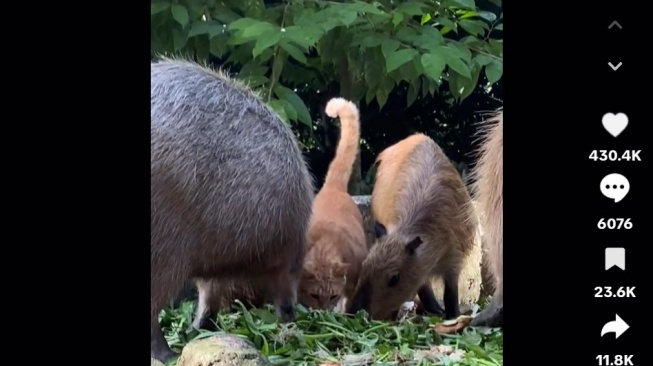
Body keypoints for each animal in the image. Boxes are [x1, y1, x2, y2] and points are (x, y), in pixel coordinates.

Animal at [300, 97, 370, 308]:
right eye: (314, 295)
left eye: (333, 296)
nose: (322, 311)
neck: (325, 245)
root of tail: (334, 186)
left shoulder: (354, 281)